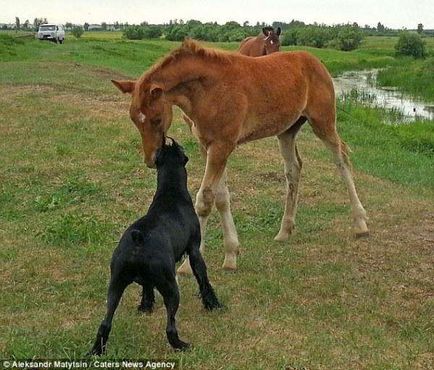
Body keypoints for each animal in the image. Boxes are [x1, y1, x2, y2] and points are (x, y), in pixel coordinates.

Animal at [89, 137, 224, 354]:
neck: (170, 191)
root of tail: (138, 240)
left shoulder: (145, 280)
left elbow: (147, 288)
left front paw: (146, 307)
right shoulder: (194, 251)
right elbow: (203, 279)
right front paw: (213, 304)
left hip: (115, 285)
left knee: (105, 323)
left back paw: (96, 350)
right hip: (171, 288)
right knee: (170, 326)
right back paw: (181, 345)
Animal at [112, 39, 370, 274]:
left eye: (156, 119)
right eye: (134, 119)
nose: (151, 160)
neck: (208, 90)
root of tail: (315, 60)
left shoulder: (222, 146)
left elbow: (205, 199)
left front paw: (187, 265)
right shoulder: (208, 146)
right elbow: (221, 197)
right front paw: (231, 254)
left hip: (323, 121)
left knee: (342, 160)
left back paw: (360, 223)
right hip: (287, 131)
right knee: (293, 169)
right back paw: (284, 230)